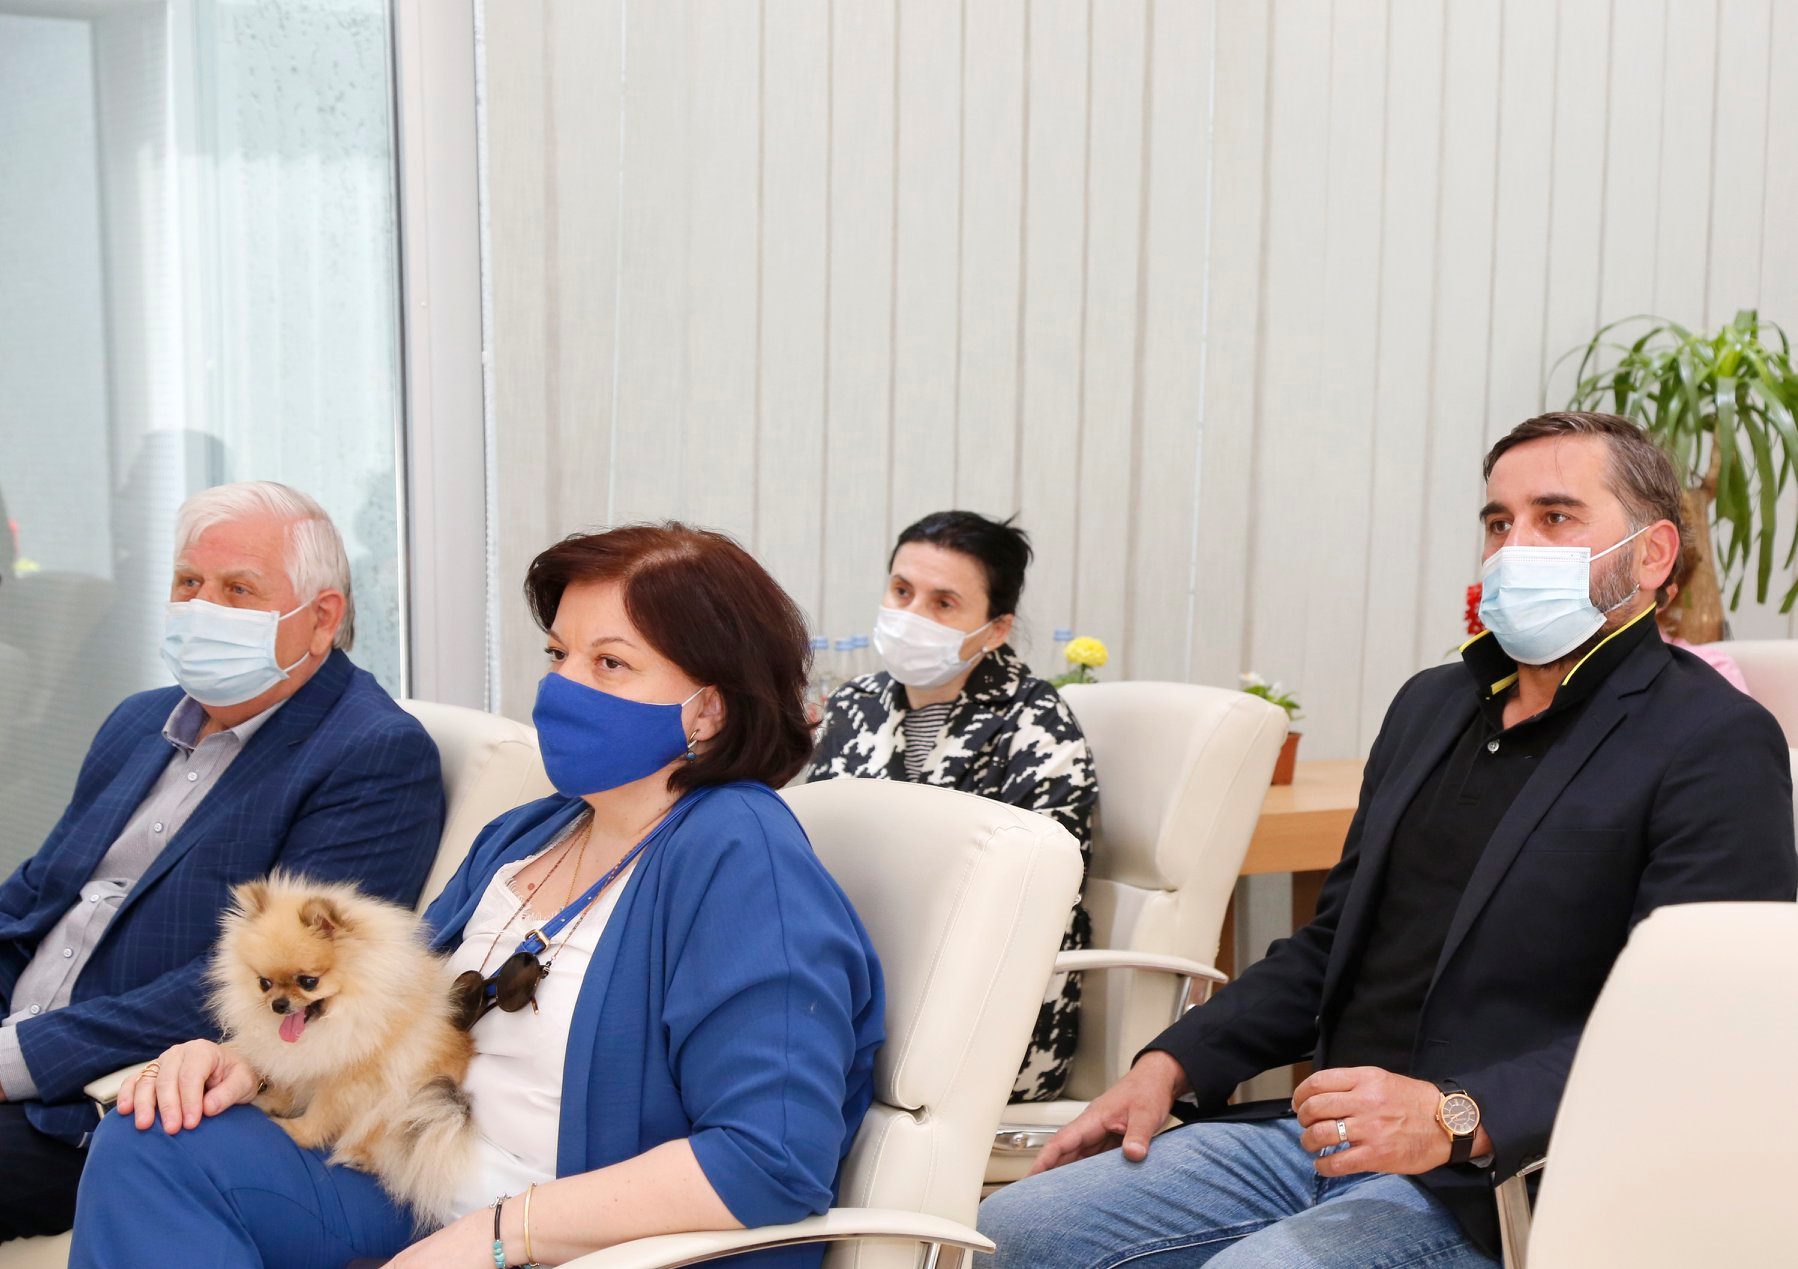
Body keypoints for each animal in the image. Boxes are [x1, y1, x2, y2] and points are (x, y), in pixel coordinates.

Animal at [208, 872, 476, 1225]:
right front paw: (271, 1101)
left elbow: (320, 1116)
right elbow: (290, 1086)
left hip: (409, 1110)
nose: (278, 1005)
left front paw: (294, 1131)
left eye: (308, 981)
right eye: (264, 983)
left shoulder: (349, 1083)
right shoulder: (304, 1061)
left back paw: (359, 1158)